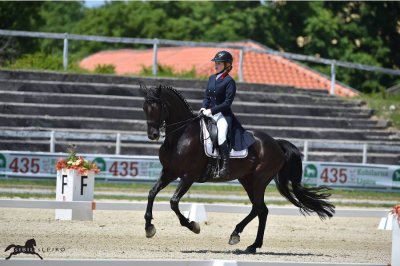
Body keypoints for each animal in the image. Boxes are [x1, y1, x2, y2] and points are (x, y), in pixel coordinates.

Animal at [141, 83, 334, 254]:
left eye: (159, 106)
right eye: (144, 107)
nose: (153, 135)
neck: (181, 135)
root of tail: (276, 143)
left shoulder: (188, 176)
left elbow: (173, 202)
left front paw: (193, 226)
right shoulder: (169, 172)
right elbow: (151, 193)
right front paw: (149, 227)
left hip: (259, 180)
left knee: (258, 208)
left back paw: (236, 234)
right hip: (247, 180)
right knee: (262, 210)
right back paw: (253, 245)